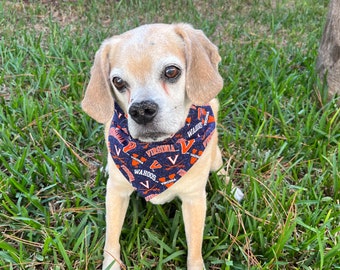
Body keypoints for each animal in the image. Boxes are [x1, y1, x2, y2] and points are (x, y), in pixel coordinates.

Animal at [81, 23, 243, 270]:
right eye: (118, 82)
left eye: (171, 72)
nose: (141, 110)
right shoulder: (116, 193)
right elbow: (111, 238)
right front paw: (111, 263)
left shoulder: (194, 199)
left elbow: (194, 249)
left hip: (214, 154)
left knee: (221, 169)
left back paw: (232, 189)